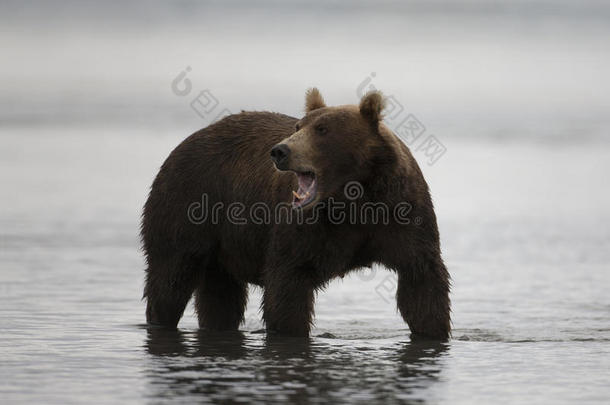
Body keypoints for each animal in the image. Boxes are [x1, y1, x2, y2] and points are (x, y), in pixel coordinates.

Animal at [140, 87, 448, 338]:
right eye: (299, 125)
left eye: (323, 129)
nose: (280, 151)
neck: (352, 200)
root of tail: (186, 141)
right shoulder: (304, 229)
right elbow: (287, 288)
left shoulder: (401, 216)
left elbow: (422, 284)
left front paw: (434, 330)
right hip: (187, 207)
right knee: (170, 278)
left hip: (221, 245)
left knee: (220, 297)